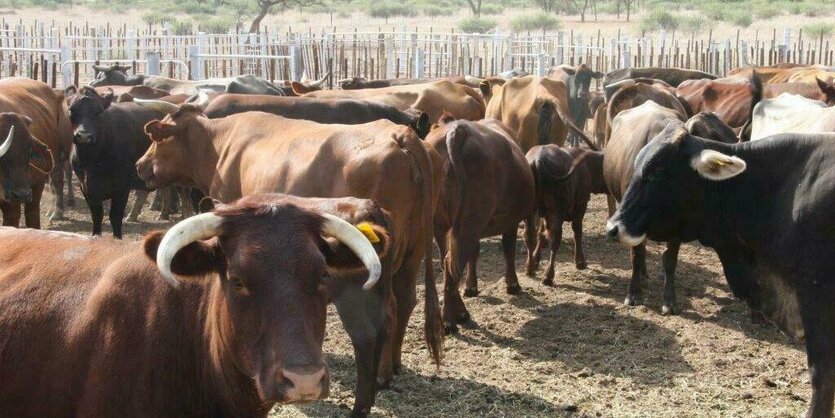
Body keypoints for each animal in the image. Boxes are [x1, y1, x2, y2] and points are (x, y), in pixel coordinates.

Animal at [0, 78, 72, 229]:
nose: (21, 194)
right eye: (3, 158)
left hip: (47, 171)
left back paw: (56, 212)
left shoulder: (11, 207)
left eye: (29, 152)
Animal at [424, 114, 536, 334]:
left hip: (443, 225)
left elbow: (474, 255)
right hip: (470, 221)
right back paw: (449, 321)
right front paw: (513, 284)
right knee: (452, 264)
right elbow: (508, 248)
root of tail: (457, 131)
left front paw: (471, 287)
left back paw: (459, 313)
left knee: (448, 262)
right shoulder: (510, 222)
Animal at [524, 145, 608, 286]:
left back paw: (529, 268)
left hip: (531, 211)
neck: (587, 165)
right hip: (557, 210)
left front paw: (536, 260)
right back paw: (548, 275)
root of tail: (539, 159)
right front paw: (580, 262)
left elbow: (541, 234)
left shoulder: (543, 214)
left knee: (530, 236)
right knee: (555, 240)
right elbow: (577, 231)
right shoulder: (581, 205)